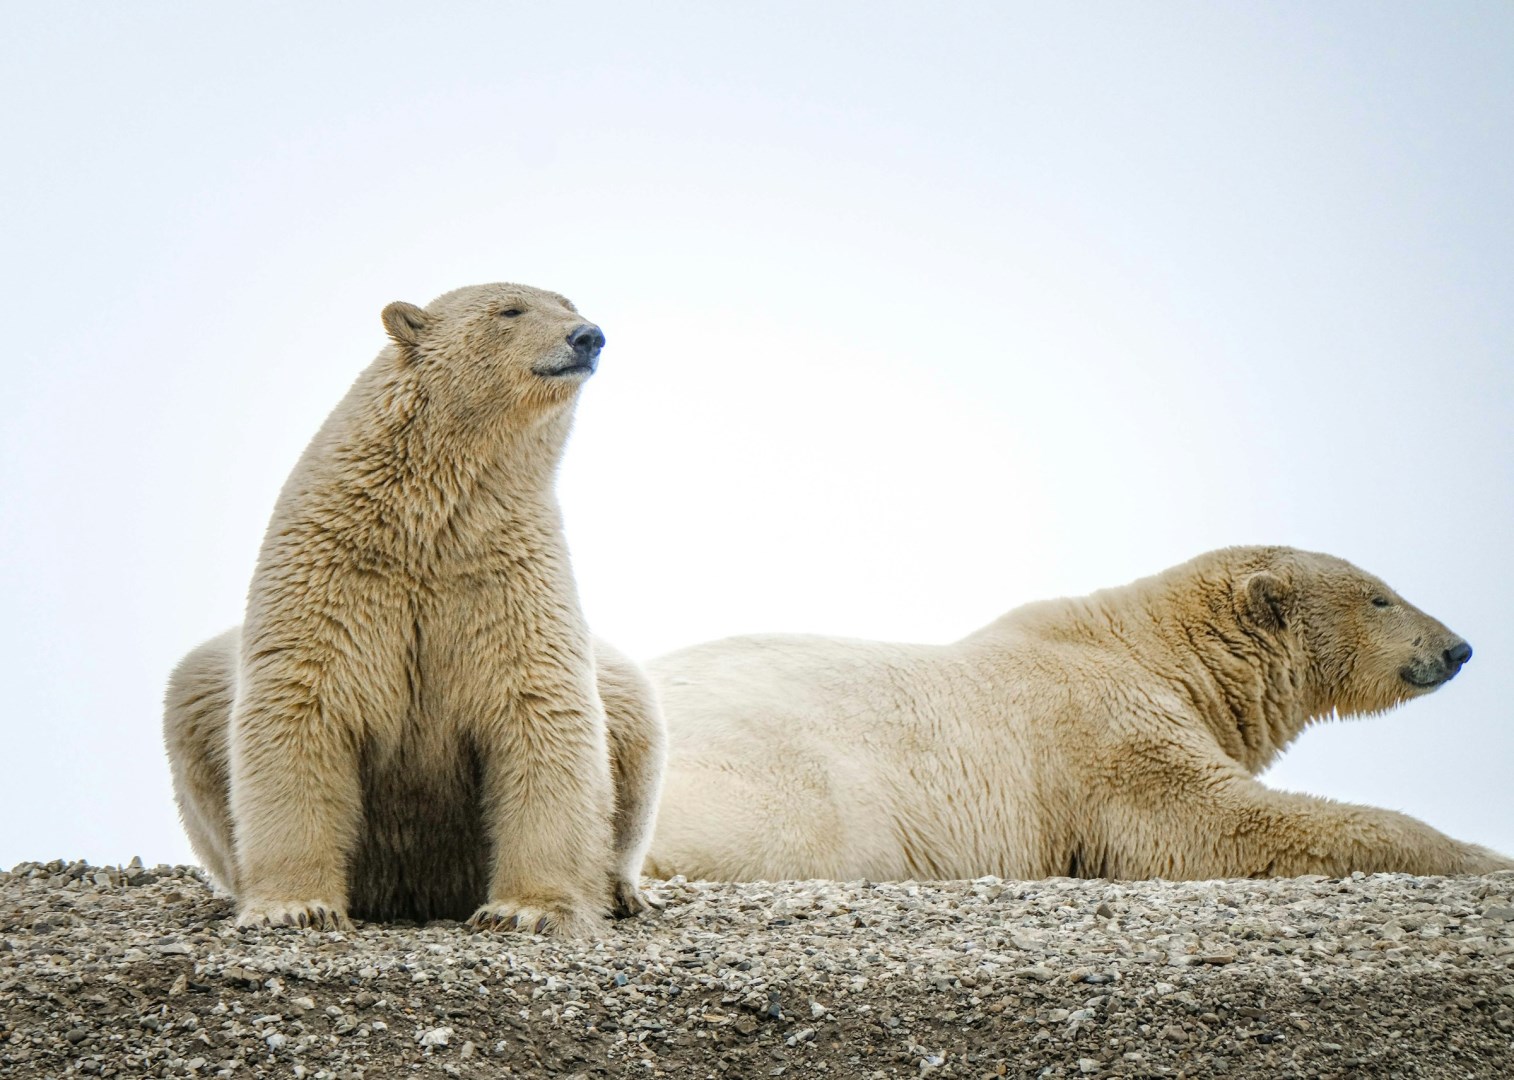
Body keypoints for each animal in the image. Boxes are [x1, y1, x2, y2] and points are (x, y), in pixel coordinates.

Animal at [163, 283, 666, 936]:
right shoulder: (335, 575)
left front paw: (524, 910)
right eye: (511, 310)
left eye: (568, 304)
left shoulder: (506, 577)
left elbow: (541, 709)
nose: (589, 336)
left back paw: (623, 890)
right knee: (192, 693)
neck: (426, 526)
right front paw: (296, 906)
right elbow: (301, 708)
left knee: (632, 709)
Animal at [644, 546, 1512, 882]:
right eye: (1381, 596)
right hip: (796, 783)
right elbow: (1218, 825)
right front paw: (1486, 855)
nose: (1461, 647)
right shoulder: (1109, 737)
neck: (1156, 649)